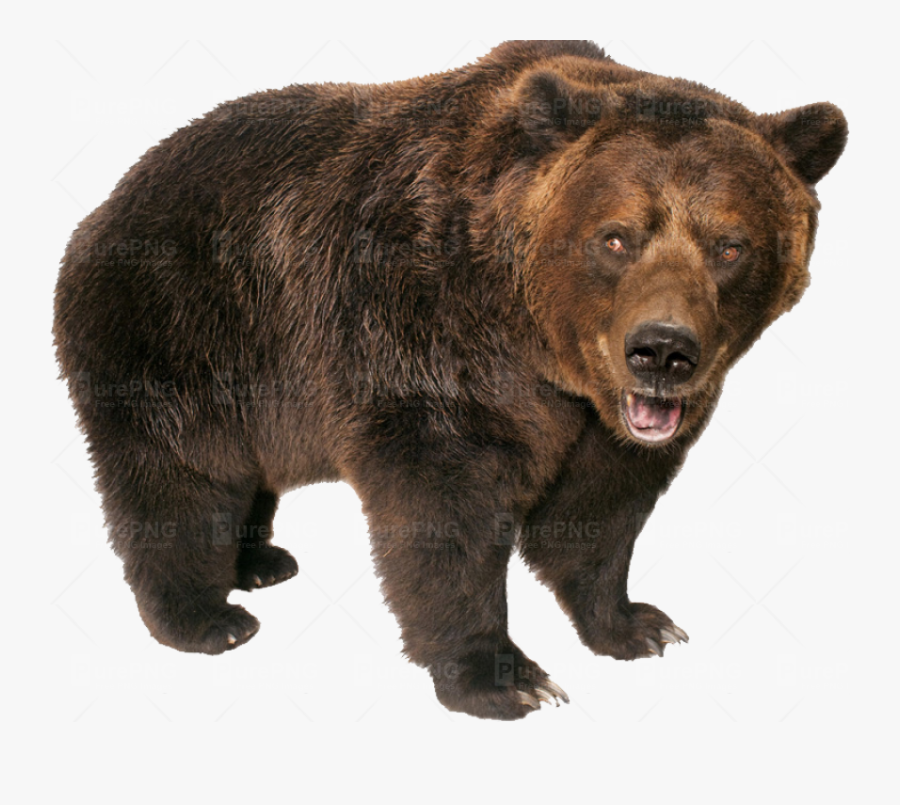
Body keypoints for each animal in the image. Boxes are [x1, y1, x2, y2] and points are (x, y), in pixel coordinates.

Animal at [53, 40, 847, 720]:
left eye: (730, 245)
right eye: (618, 236)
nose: (662, 351)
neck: (540, 342)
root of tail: (110, 197)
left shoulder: (601, 418)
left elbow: (600, 507)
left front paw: (636, 623)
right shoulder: (422, 331)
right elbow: (446, 508)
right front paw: (503, 675)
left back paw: (260, 561)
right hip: (180, 330)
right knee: (182, 474)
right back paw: (206, 615)